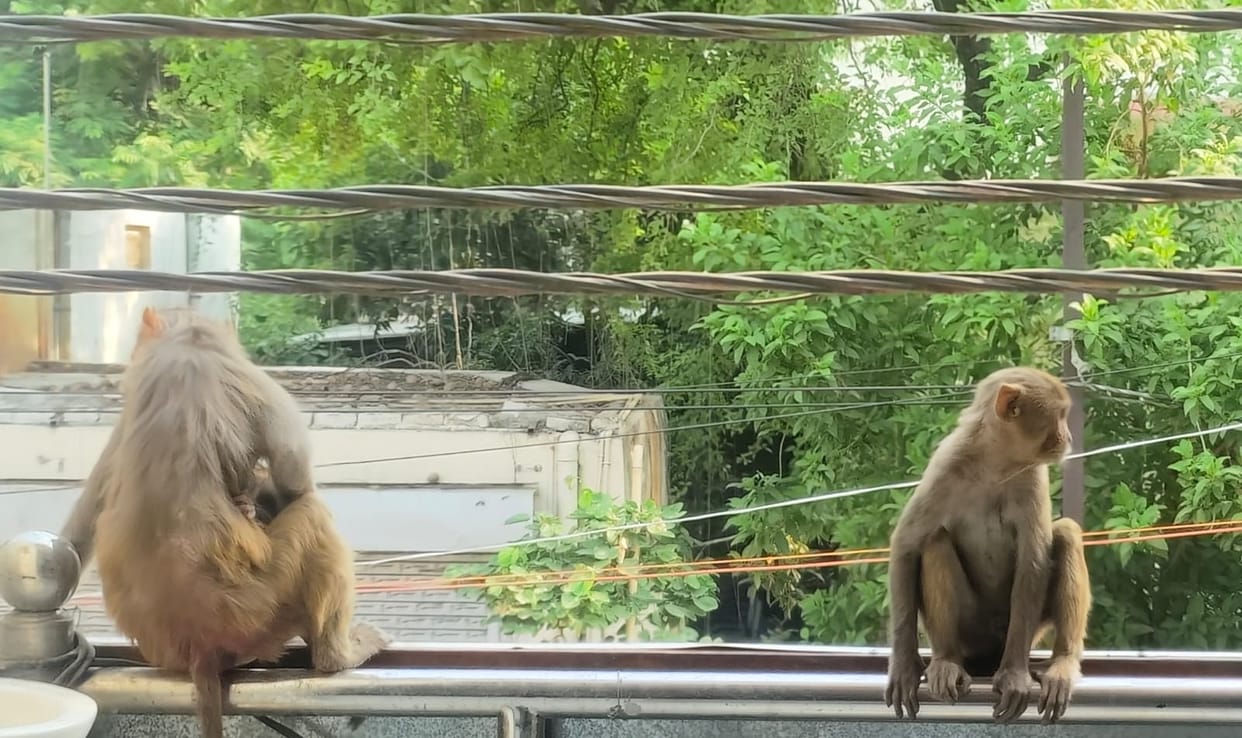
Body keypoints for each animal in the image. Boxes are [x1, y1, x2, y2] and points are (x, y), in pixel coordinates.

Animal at [60, 306, 389, 738]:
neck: (187, 338)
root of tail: (199, 644)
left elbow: (85, 516)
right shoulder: (245, 373)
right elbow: (294, 474)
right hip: (266, 607)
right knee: (312, 514)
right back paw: (337, 656)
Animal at [884, 366, 1091, 725]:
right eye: (1060, 416)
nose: (1068, 438)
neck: (995, 464)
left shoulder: (1032, 477)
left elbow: (1032, 562)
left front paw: (1014, 675)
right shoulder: (945, 465)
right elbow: (907, 544)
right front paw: (905, 666)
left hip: (1023, 628)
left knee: (1065, 532)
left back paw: (1062, 661)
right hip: (971, 628)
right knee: (935, 539)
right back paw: (947, 660)